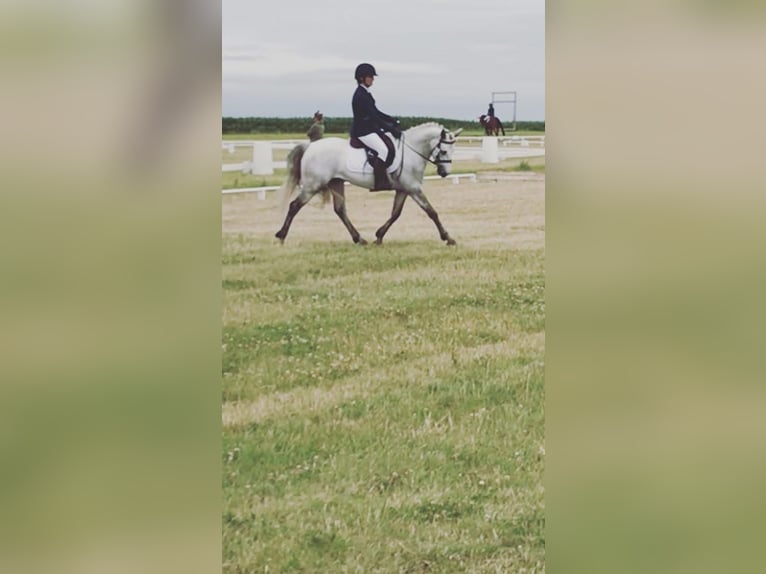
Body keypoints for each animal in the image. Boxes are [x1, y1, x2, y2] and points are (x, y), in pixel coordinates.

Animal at [275, 123, 463, 246]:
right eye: (443, 151)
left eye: (453, 150)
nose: (444, 173)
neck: (410, 151)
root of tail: (310, 146)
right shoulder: (413, 189)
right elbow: (431, 212)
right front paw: (448, 238)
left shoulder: (404, 190)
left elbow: (395, 214)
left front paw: (379, 236)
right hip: (313, 185)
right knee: (294, 206)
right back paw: (281, 236)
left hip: (336, 183)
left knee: (340, 210)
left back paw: (359, 239)